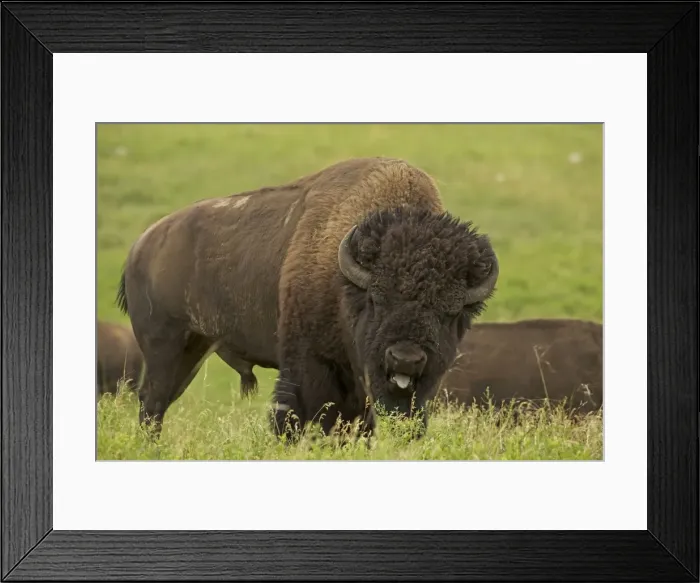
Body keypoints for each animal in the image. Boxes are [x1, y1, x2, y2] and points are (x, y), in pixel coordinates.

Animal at [116, 157, 499, 439]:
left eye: (450, 313)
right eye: (376, 300)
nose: (405, 359)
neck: (346, 286)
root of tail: (141, 246)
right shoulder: (310, 366)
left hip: (194, 349)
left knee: (161, 400)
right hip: (165, 346)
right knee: (153, 401)